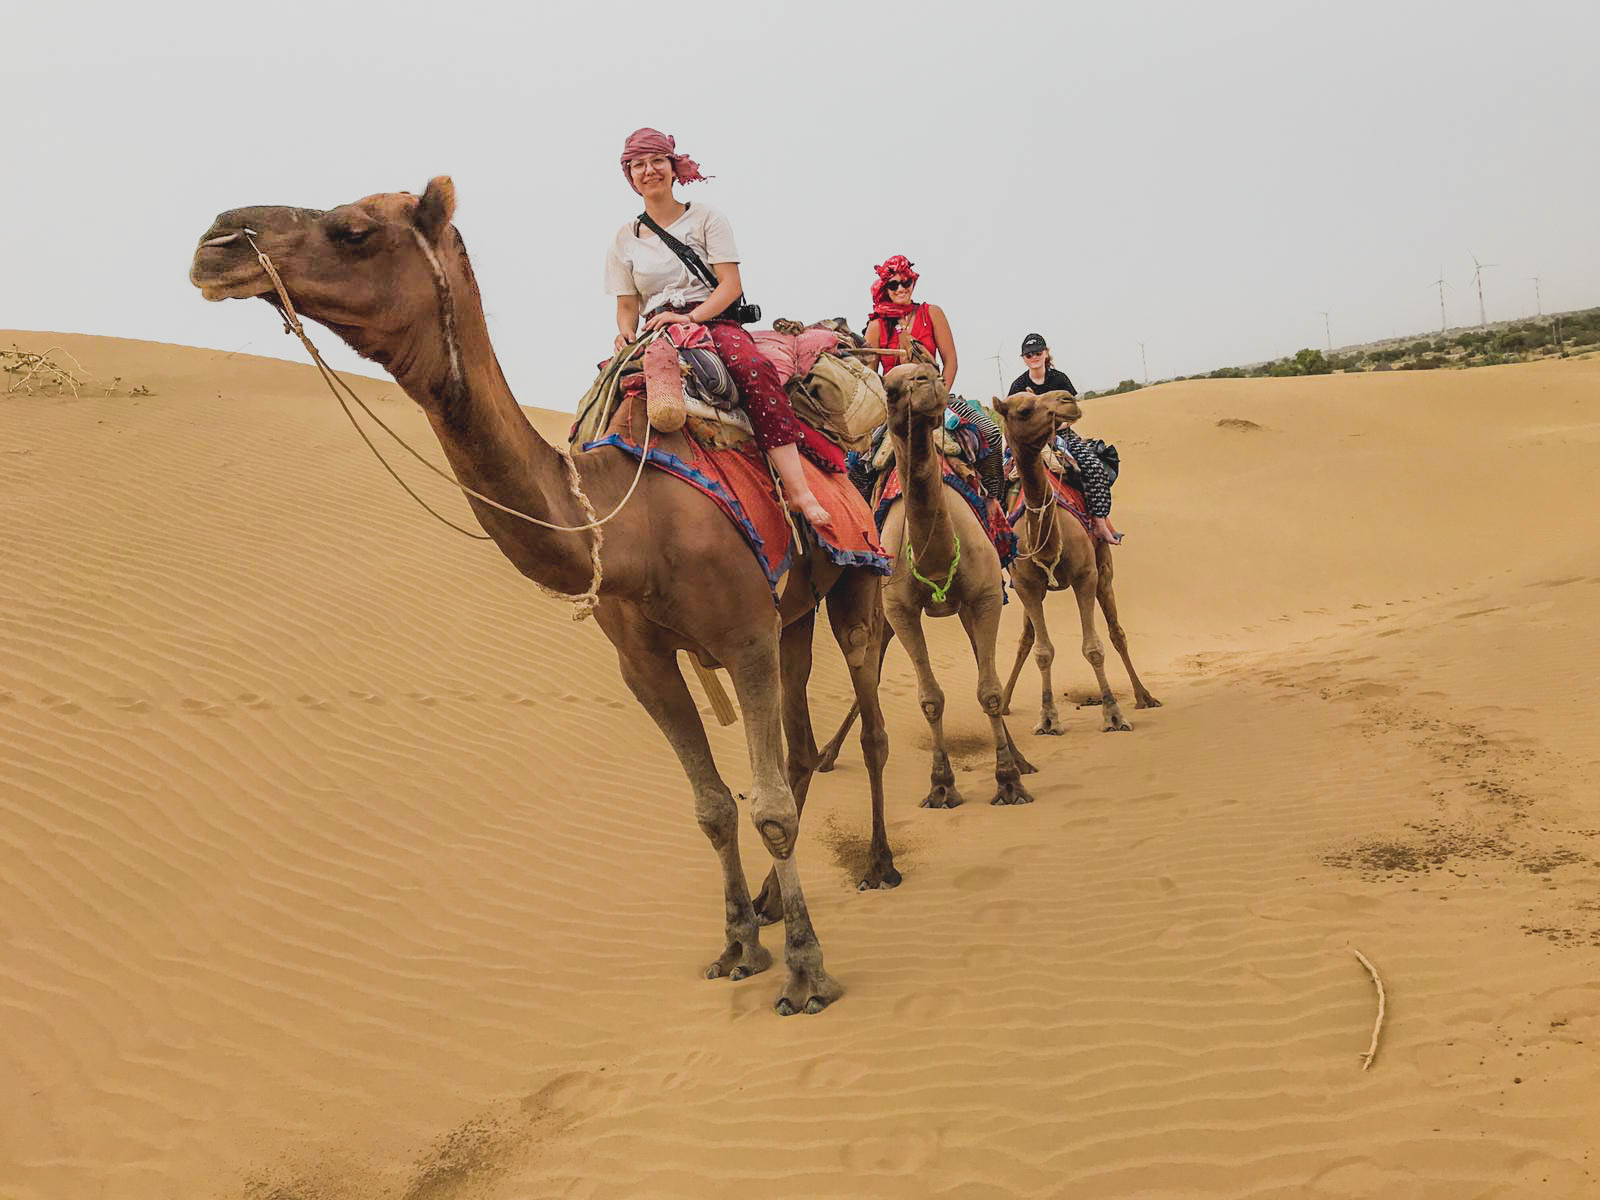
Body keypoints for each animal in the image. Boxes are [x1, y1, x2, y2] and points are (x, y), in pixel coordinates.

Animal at [183, 178, 902, 1017]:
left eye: (354, 230)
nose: (216, 242)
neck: (634, 520)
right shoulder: (646, 663)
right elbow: (715, 806)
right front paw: (737, 946)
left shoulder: (742, 637)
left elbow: (771, 811)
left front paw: (806, 972)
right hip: (793, 611)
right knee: (799, 746)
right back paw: (769, 900)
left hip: (856, 574)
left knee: (868, 719)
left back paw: (880, 862)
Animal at [876, 360, 1036, 809]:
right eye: (889, 388)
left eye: (931, 371)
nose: (927, 381)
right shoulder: (898, 611)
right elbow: (930, 699)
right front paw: (941, 786)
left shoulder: (985, 598)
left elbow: (991, 692)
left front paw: (1008, 782)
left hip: (974, 604)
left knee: (987, 672)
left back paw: (1021, 761)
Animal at [992, 390, 1158, 739]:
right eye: (1024, 409)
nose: (1068, 398)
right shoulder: (1027, 586)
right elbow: (1042, 651)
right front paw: (1047, 719)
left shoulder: (1085, 576)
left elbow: (1094, 647)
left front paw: (1113, 714)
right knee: (1026, 639)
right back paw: (1005, 703)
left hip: (1104, 568)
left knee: (1117, 631)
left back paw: (1143, 696)